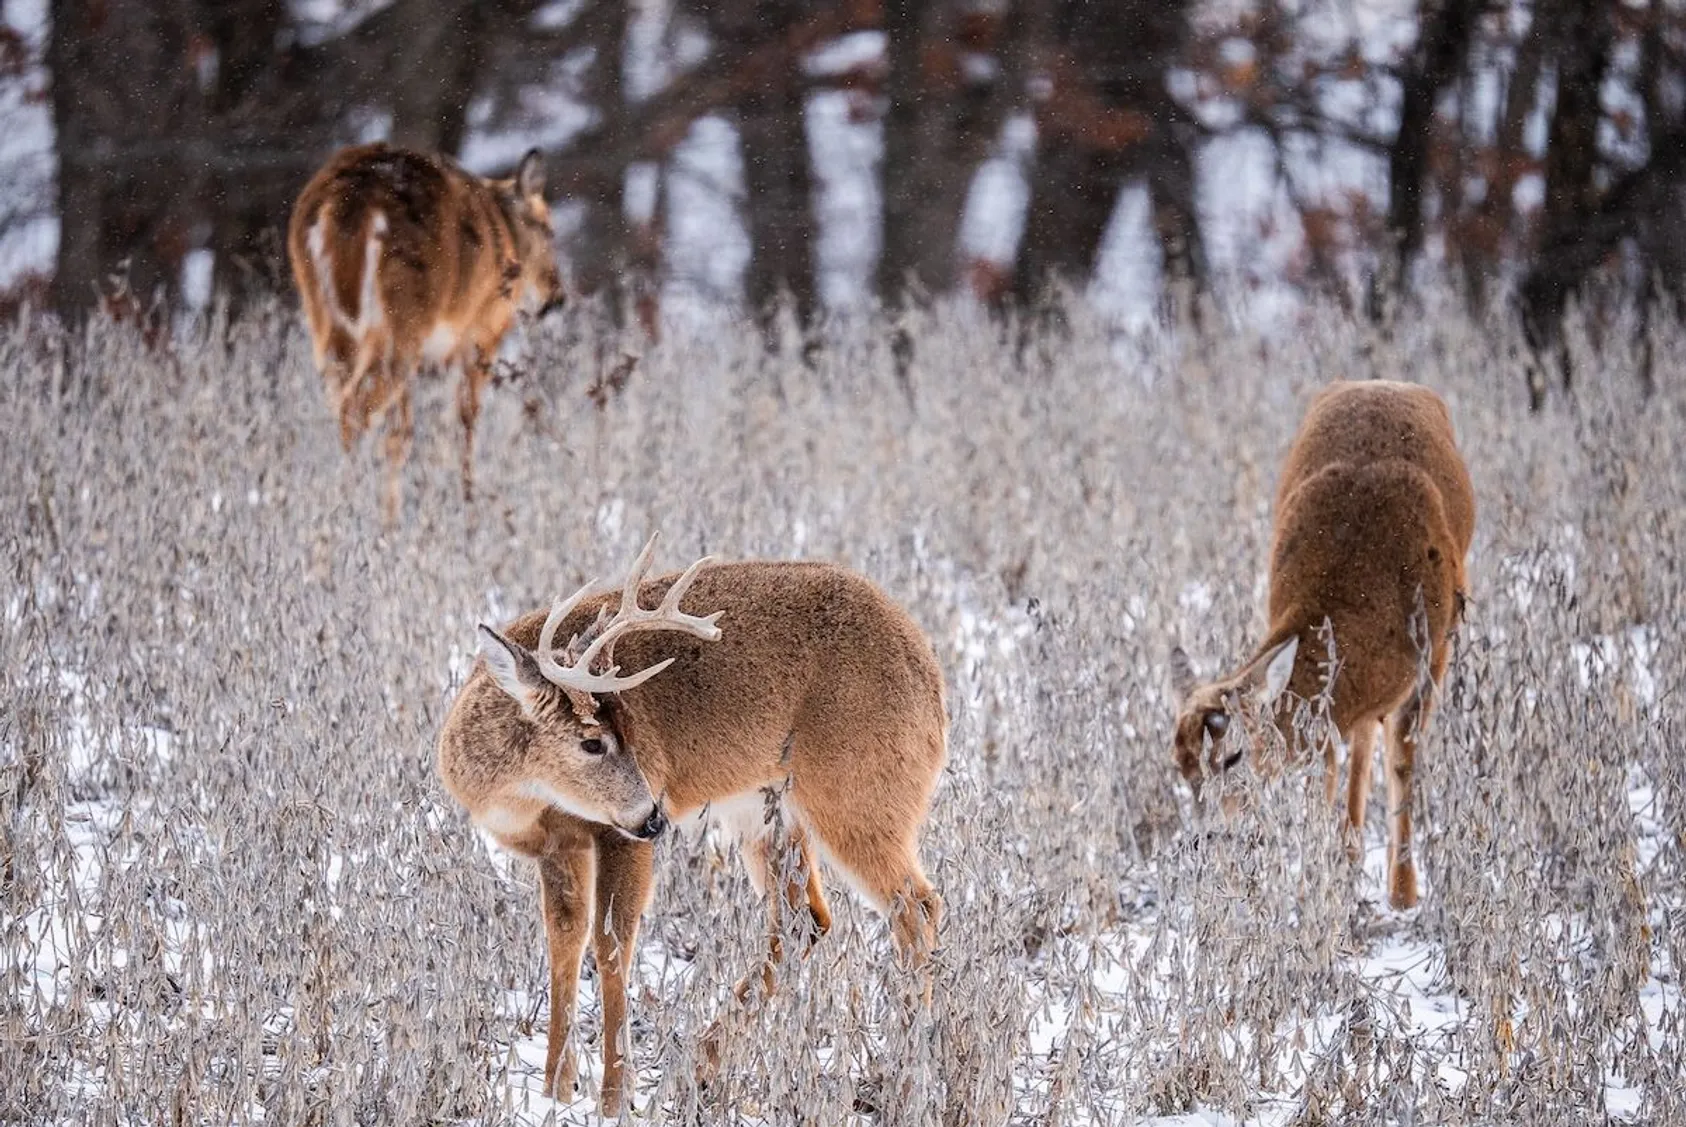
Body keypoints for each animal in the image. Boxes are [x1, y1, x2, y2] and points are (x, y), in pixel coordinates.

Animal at [287, 143, 566, 523]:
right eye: (549, 230)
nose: (557, 298)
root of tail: (348, 206)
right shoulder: (481, 331)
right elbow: (463, 423)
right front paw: (467, 507)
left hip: (327, 321)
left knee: (348, 412)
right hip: (402, 318)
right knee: (364, 415)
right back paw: (362, 516)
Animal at [436, 535, 947, 1114]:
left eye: (631, 732)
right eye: (592, 741)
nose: (655, 816)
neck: (520, 797)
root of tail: (932, 678)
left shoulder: (616, 835)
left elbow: (612, 944)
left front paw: (613, 1098)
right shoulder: (556, 846)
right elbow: (564, 942)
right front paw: (554, 1092)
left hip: (859, 792)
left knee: (916, 907)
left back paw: (907, 1080)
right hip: (766, 813)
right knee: (804, 920)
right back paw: (696, 1072)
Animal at [1169, 380, 1476, 910]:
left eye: (1233, 755)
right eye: (1182, 767)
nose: (1203, 838)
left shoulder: (1433, 654)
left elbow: (1403, 763)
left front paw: (1403, 895)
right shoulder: (1326, 712)